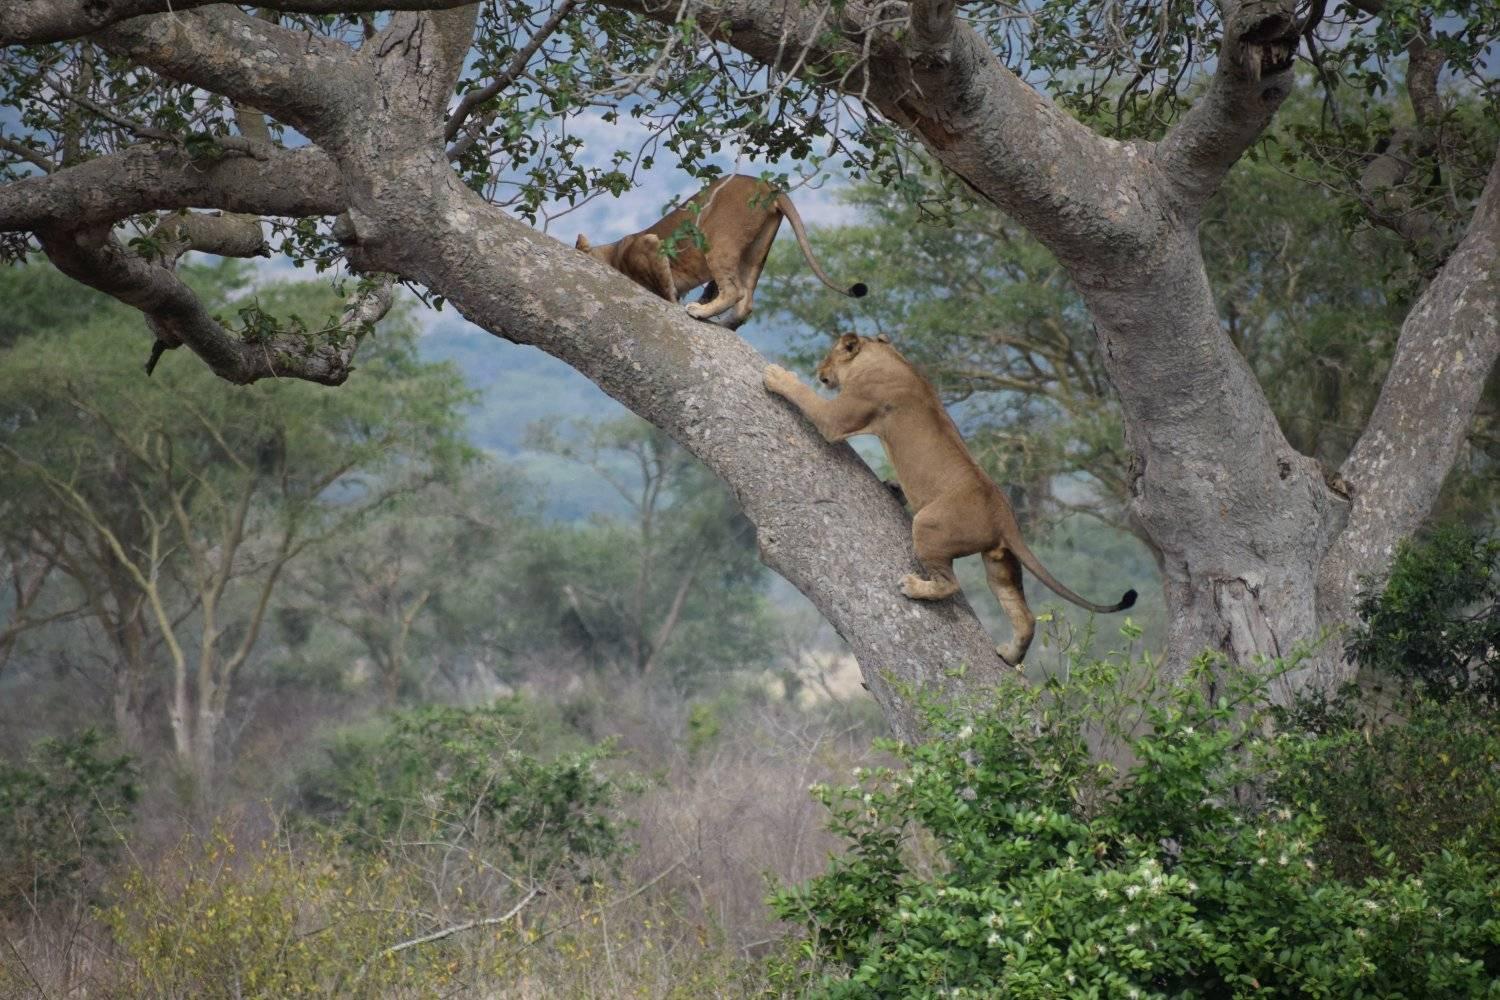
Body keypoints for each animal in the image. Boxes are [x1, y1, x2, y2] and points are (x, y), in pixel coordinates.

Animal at [579, 173, 876, 328]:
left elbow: (664, 287)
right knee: (746, 301)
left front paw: (675, 301)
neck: (614, 250)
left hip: (719, 239)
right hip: (756, 250)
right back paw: (723, 323)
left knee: (735, 291)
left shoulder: (649, 244)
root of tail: (766, 184)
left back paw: (700, 312)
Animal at [768, 332, 1128, 668]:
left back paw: (914, 586)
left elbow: (806, 398)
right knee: (1023, 615)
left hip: (929, 526)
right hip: (1000, 564)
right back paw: (1009, 655)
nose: (820, 372)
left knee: (950, 584)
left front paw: (776, 376)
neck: (886, 357)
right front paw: (893, 487)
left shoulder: (840, 417)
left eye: (829, 356)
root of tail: (1004, 517)